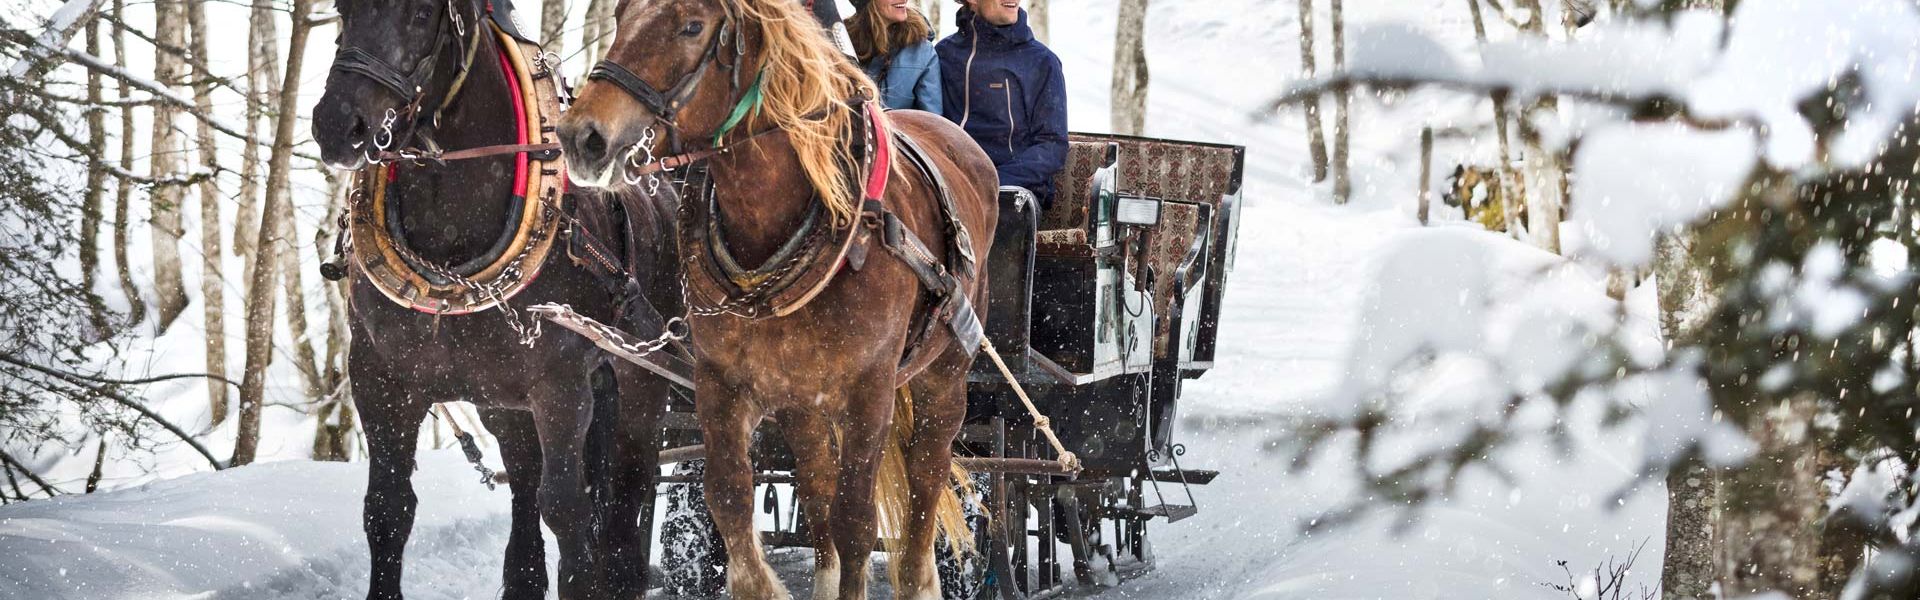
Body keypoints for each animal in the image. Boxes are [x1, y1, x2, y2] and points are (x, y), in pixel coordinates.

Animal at [311, 1, 679, 600]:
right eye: (344, 10)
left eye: (421, 14)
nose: (338, 125)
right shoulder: (379, 377)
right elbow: (388, 510)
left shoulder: (562, 386)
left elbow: (569, 510)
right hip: (501, 399)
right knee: (525, 483)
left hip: (642, 379)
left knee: (627, 487)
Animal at [556, 1, 998, 600]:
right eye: (621, 17)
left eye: (692, 26)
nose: (580, 135)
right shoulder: (722, 383)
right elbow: (730, 499)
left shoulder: (871, 391)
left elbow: (856, 521)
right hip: (801, 402)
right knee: (816, 488)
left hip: (944, 375)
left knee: (924, 483)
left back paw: (917, 577)